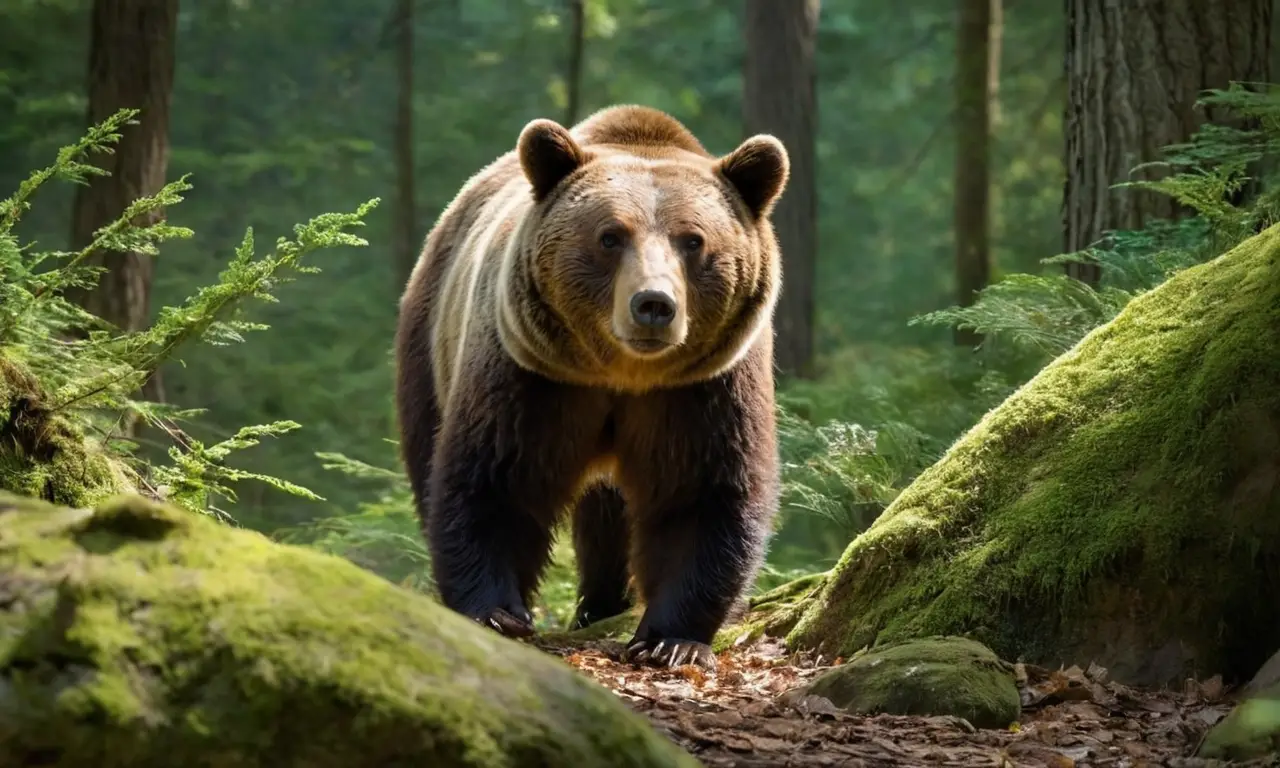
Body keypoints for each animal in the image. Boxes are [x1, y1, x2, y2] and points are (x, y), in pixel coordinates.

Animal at [394, 104, 789, 670]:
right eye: (610, 236)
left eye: (693, 240)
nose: (654, 304)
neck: (621, 374)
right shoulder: (532, 376)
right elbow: (495, 479)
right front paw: (497, 612)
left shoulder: (703, 390)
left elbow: (700, 492)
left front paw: (671, 640)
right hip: (429, 339)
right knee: (427, 448)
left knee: (607, 516)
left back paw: (601, 606)